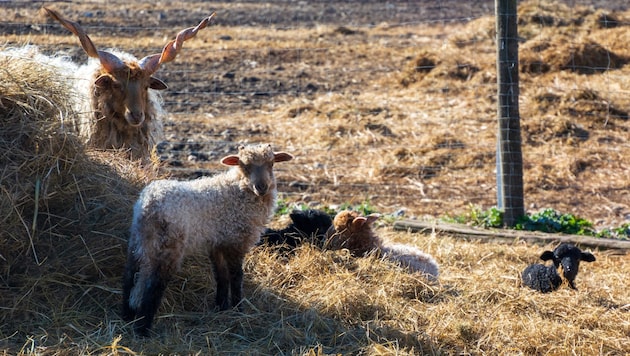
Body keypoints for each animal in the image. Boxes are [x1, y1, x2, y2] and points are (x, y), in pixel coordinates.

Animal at [122, 143, 296, 336]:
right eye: (244, 166)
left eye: (271, 164)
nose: (262, 187)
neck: (239, 189)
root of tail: (148, 205)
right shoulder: (236, 241)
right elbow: (236, 276)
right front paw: (238, 308)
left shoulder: (217, 243)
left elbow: (221, 275)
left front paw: (221, 306)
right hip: (167, 246)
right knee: (153, 285)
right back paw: (143, 329)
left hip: (138, 240)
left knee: (129, 275)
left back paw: (126, 315)